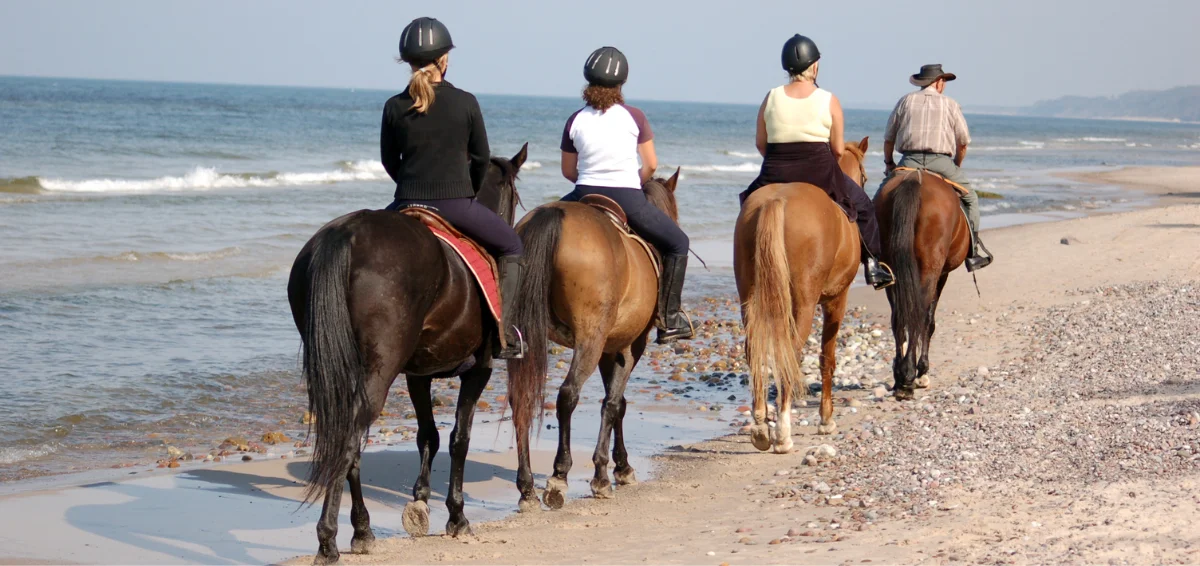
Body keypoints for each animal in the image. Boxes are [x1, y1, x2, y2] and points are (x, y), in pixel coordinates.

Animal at [285, 145, 535, 561]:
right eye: (514, 198)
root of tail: (347, 235)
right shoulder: (478, 370)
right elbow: (459, 438)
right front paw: (455, 515)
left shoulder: (418, 374)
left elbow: (428, 435)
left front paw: (420, 502)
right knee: (349, 440)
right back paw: (328, 538)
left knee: (348, 439)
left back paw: (362, 530)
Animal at [501, 170, 681, 510]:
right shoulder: (629, 346)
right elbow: (614, 403)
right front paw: (606, 474)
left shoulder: (610, 348)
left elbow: (616, 401)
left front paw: (620, 466)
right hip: (590, 339)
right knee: (568, 394)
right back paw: (559, 476)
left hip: (523, 337)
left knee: (521, 399)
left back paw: (527, 488)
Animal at [878, 170, 969, 400]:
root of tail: (914, 178)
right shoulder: (942, 274)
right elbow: (929, 320)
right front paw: (922, 370)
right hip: (930, 269)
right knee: (919, 314)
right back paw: (910, 374)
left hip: (891, 270)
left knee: (899, 317)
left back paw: (900, 376)